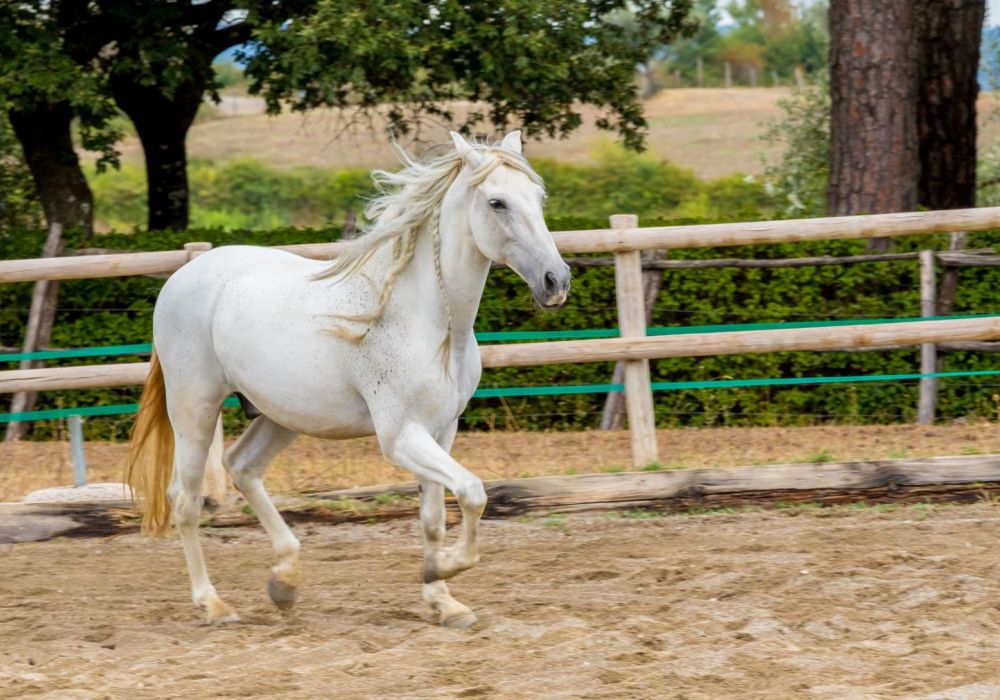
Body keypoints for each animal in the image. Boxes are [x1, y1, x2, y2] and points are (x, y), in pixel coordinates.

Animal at [127, 131, 572, 628]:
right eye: (497, 202)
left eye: (538, 198)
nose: (557, 281)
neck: (423, 319)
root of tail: (179, 279)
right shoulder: (400, 437)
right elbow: (474, 493)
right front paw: (444, 569)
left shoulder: (443, 431)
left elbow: (434, 518)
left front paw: (443, 601)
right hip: (195, 408)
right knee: (185, 499)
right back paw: (214, 604)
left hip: (281, 416)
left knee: (241, 467)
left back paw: (284, 581)